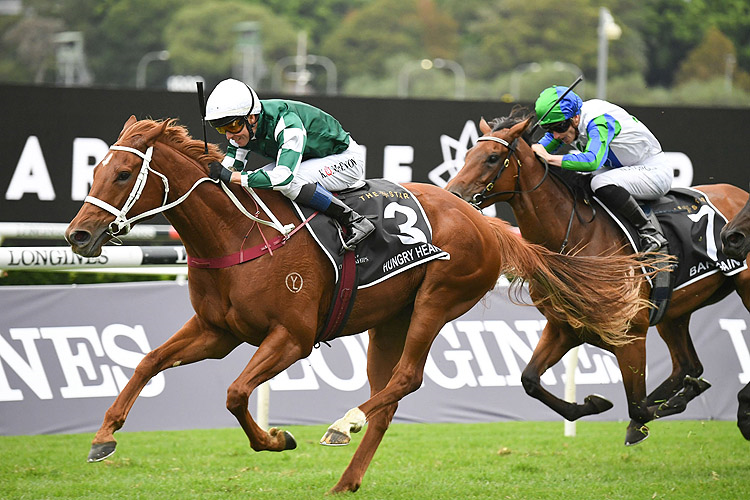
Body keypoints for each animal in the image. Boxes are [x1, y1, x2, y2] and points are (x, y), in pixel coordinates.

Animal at [64, 116, 652, 492]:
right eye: (94, 170)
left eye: (123, 174)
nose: (78, 235)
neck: (241, 234)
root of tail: (485, 221)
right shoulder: (217, 331)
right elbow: (148, 362)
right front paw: (102, 437)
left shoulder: (292, 338)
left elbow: (234, 394)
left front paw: (276, 438)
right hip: (388, 321)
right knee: (386, 398)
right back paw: (346, 480)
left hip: (437, 299)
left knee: (405, 379)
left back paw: (341, 425)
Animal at [450, 111, 750, 444]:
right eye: (467, 155)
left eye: (492, 157)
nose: (453, 195)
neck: (578, 237)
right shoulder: (564, 328)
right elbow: (530, 380)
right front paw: (594, 404)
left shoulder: (630, 333)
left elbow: (637, 406)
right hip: (674, 312)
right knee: (688, 365)